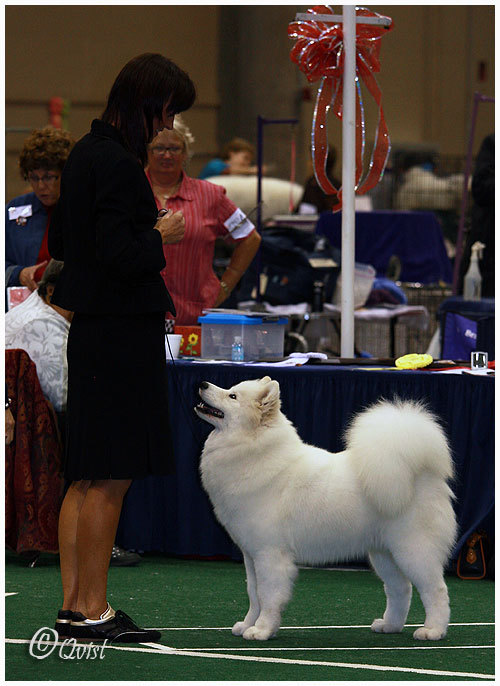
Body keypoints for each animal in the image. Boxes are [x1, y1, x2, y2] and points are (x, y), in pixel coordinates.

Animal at [195, 376, 457, 642]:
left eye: (232, 396)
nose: (203, 384)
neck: (253, 451)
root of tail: (423, 471)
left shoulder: (270, 554)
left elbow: (267, 596)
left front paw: (262, 629)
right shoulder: (251, 555)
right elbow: (253, 593)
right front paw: (248, 624)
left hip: (413, 551)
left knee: (436, 590)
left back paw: (433, 630)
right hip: (384, 554)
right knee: (400, 589)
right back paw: (389, 625)